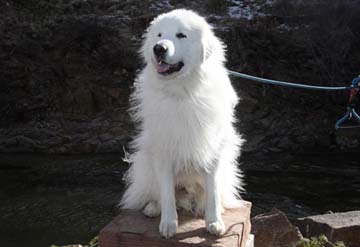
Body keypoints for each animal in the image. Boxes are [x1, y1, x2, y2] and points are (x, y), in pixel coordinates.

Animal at [120, 9, 242, 239]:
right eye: (159, 35)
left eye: (181, 35)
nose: (158, 48)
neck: (183, 92)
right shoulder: (163, 151)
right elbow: (167, 194)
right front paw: (168, 224)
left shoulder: (212, 150)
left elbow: (212, 191)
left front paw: (214, 222)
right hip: (145, 163)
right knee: (158, 194)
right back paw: (153, 208)